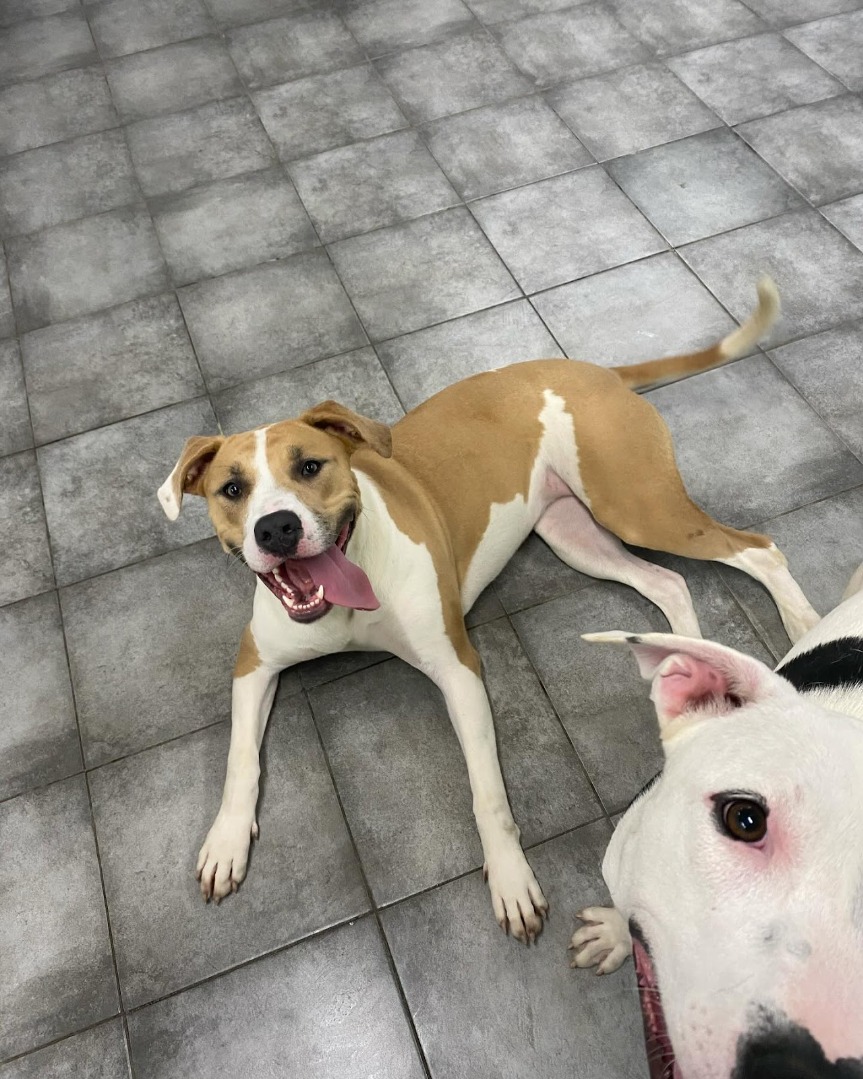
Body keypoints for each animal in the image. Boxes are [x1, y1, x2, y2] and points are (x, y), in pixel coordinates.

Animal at [157, 278, 818, 942]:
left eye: (310, 466)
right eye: (232, 489)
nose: (276, 528)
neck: (347, 596)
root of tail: (597, 372)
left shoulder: (459, 669)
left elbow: (487, 792)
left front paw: (510, 879)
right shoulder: (254, 664)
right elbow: (240, 758)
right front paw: (225, 842)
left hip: (634, 505)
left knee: (759, 550)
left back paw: (804, 624)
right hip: (574, 534)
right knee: (670, 583)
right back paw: (686, 668)